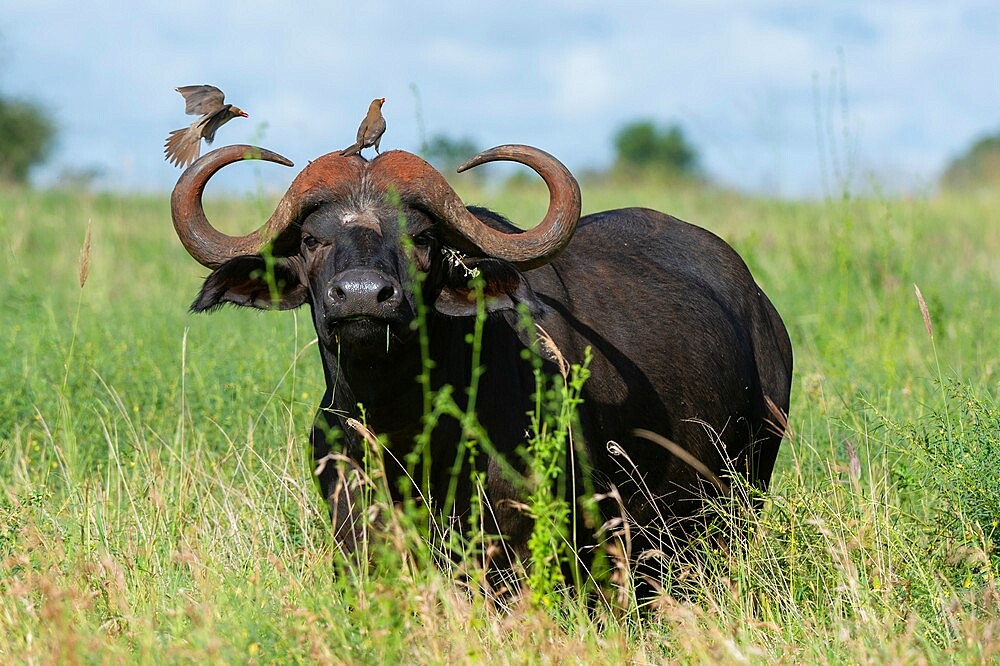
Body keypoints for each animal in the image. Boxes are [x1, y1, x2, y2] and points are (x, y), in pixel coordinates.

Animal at [174, 141, 796, 580]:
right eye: (310, 239)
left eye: (423, 238)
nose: (362, 295)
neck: (407, 428)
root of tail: (763, 311)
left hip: (740, 494)